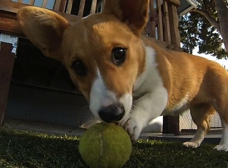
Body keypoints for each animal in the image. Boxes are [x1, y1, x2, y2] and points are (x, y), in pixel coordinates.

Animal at [16, 0, 228, 151]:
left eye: (119, 53)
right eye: (77, 66)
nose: (111, 114)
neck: (137, 81)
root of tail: (217, 64)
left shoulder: (161, 91)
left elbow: (145, 103)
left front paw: (133, 122)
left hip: (222, 103)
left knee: (225, 125)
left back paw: (222, 146)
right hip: (197, 110)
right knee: (204, 126)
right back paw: (194, 143)